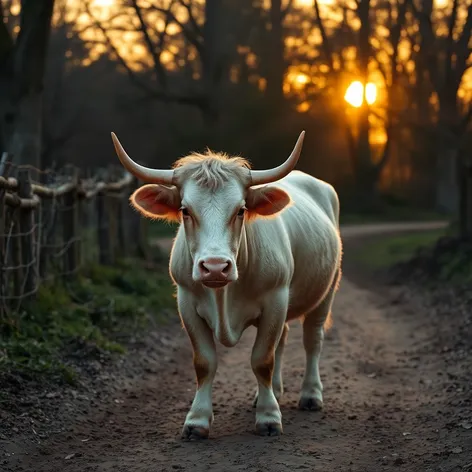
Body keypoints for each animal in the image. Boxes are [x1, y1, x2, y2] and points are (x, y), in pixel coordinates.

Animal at [111, 130, 342, 438]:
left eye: (241, 210)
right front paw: (197, 419)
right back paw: (275, 391)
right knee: (283, 339)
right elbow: (205, 362)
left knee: (312, 340)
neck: (223, 296)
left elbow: (262, 360)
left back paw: (311, 394)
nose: (215, 266)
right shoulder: (186, 303)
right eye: (185, 210)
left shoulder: (275, 299)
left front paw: (268, 417)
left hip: (326, 290)